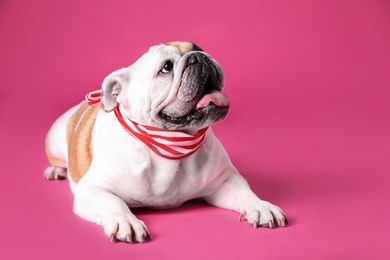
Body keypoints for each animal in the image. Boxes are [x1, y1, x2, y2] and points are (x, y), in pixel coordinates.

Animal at [45, 41, 288, 243]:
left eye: (198, 47)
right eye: (166, 67)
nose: (199, 56)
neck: (171, 143)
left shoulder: (226, 180)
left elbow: (245, 192)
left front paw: (261, 206)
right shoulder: (93, 189)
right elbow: (114, 202)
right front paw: (126, 221)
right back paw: (56, 170)